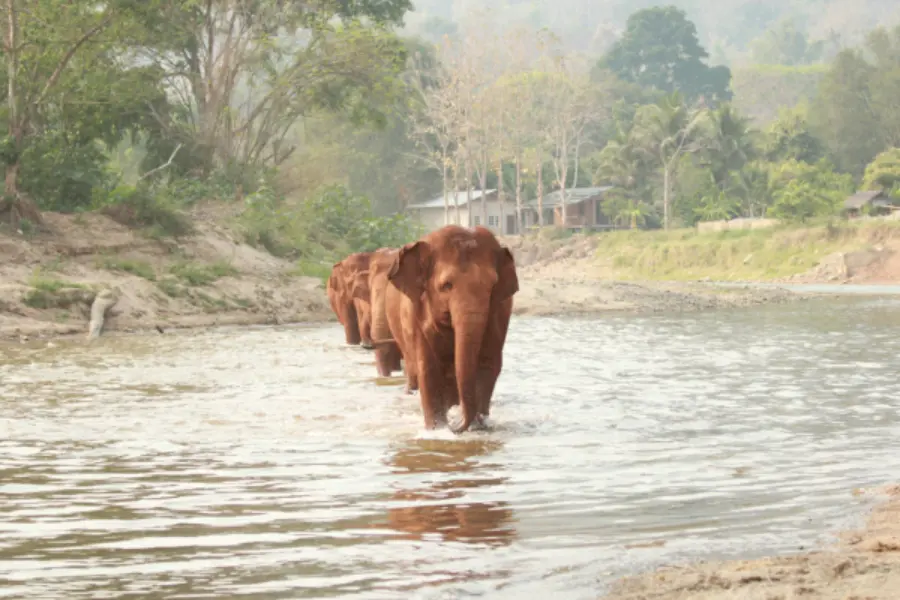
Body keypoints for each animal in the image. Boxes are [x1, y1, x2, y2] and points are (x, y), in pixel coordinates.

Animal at [386, 225, 519, 433]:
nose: (455, 424)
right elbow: (429, 369)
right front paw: (437, 429)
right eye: (446, 285)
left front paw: (476, 426)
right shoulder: (417, 315)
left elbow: (488, 364)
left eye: (492, 286)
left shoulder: (498, 313)